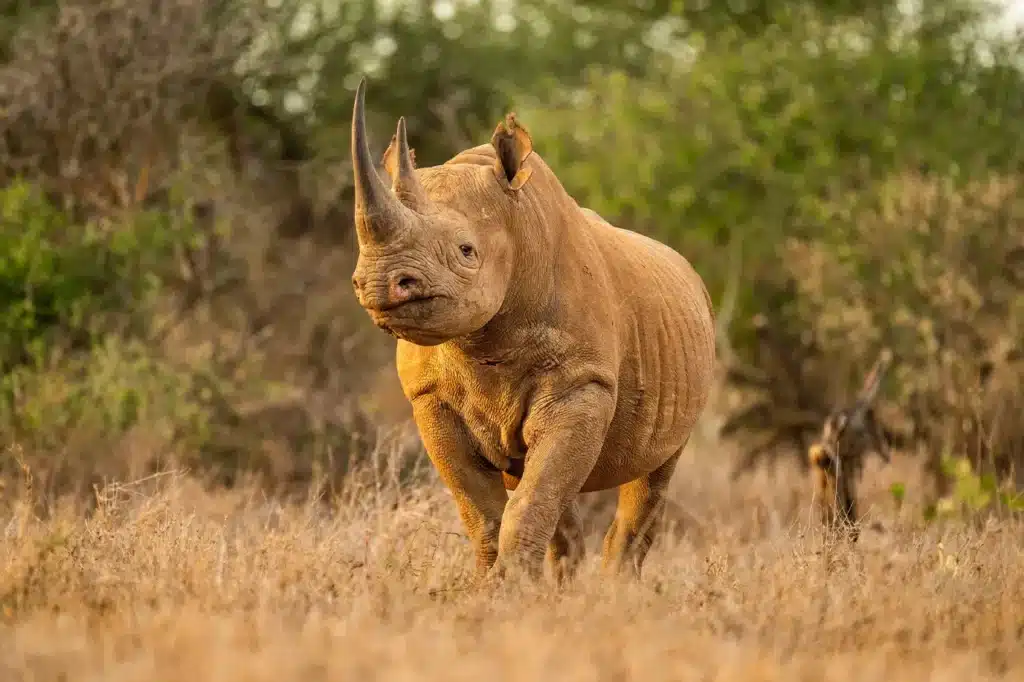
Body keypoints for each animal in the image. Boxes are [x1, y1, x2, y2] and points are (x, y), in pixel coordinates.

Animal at [349, 79, 717, 583]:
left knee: (652, 475)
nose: (379, 282)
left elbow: (531, 500)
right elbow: (484, 512)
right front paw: (494, 588)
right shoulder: (430, 396)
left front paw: (511, 588)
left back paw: (615, 590)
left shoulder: (582, 382)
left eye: (466, 251)